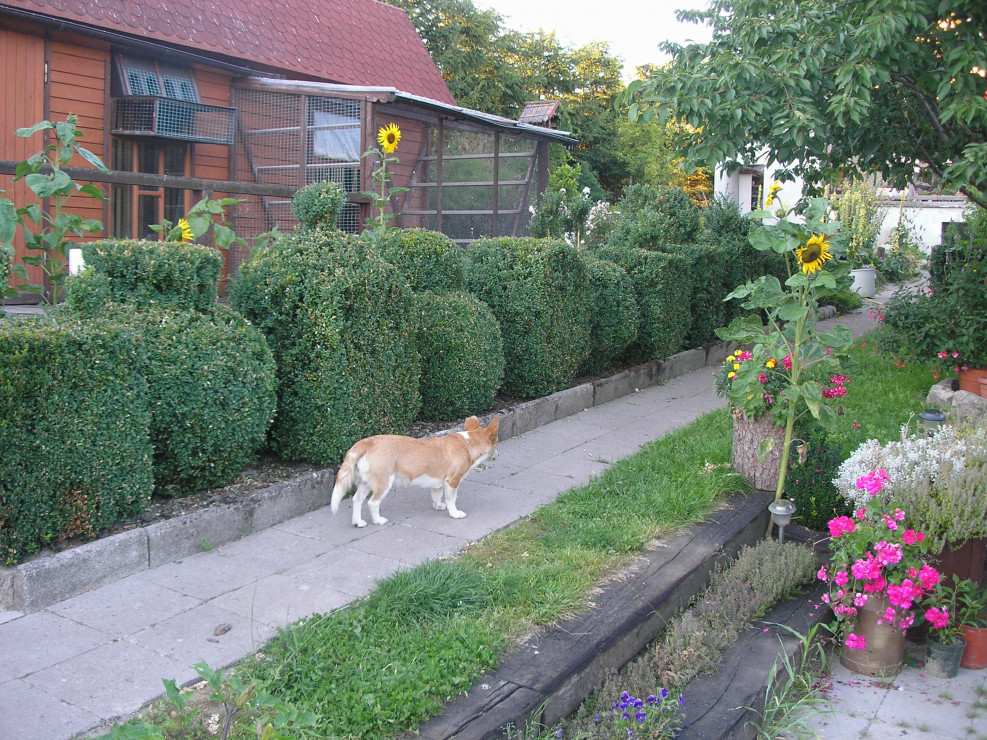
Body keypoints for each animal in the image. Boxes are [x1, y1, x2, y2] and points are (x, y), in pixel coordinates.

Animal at [332, 416, 502, 528]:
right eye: (497, 442)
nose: (498, 455)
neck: (467, 443)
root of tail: (366, 442)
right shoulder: (452, 481)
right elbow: (451, 499)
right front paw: (454, 513)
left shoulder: (438, 482)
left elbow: (437, 495)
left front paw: (438, 506)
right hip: (383, 483)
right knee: (372, 503)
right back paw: (378, 520)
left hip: (365, 483)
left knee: (357, 500)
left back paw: (358, 522)